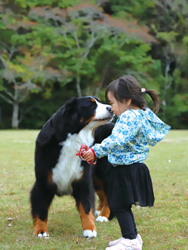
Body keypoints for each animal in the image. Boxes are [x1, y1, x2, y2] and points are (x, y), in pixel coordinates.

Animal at [30, 95, 113, 238]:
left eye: (99, 101)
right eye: (92, 105)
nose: (111, 108)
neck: (72, 137)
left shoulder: (83, 180)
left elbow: (86, 207)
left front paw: (89, 229)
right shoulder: (43, 181)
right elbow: (41, 208)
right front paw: (41, 231)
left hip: (105, 173)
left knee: (109, 195)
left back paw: (103, 216)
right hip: (96, 177)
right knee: (103, 194)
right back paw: (99, 211)